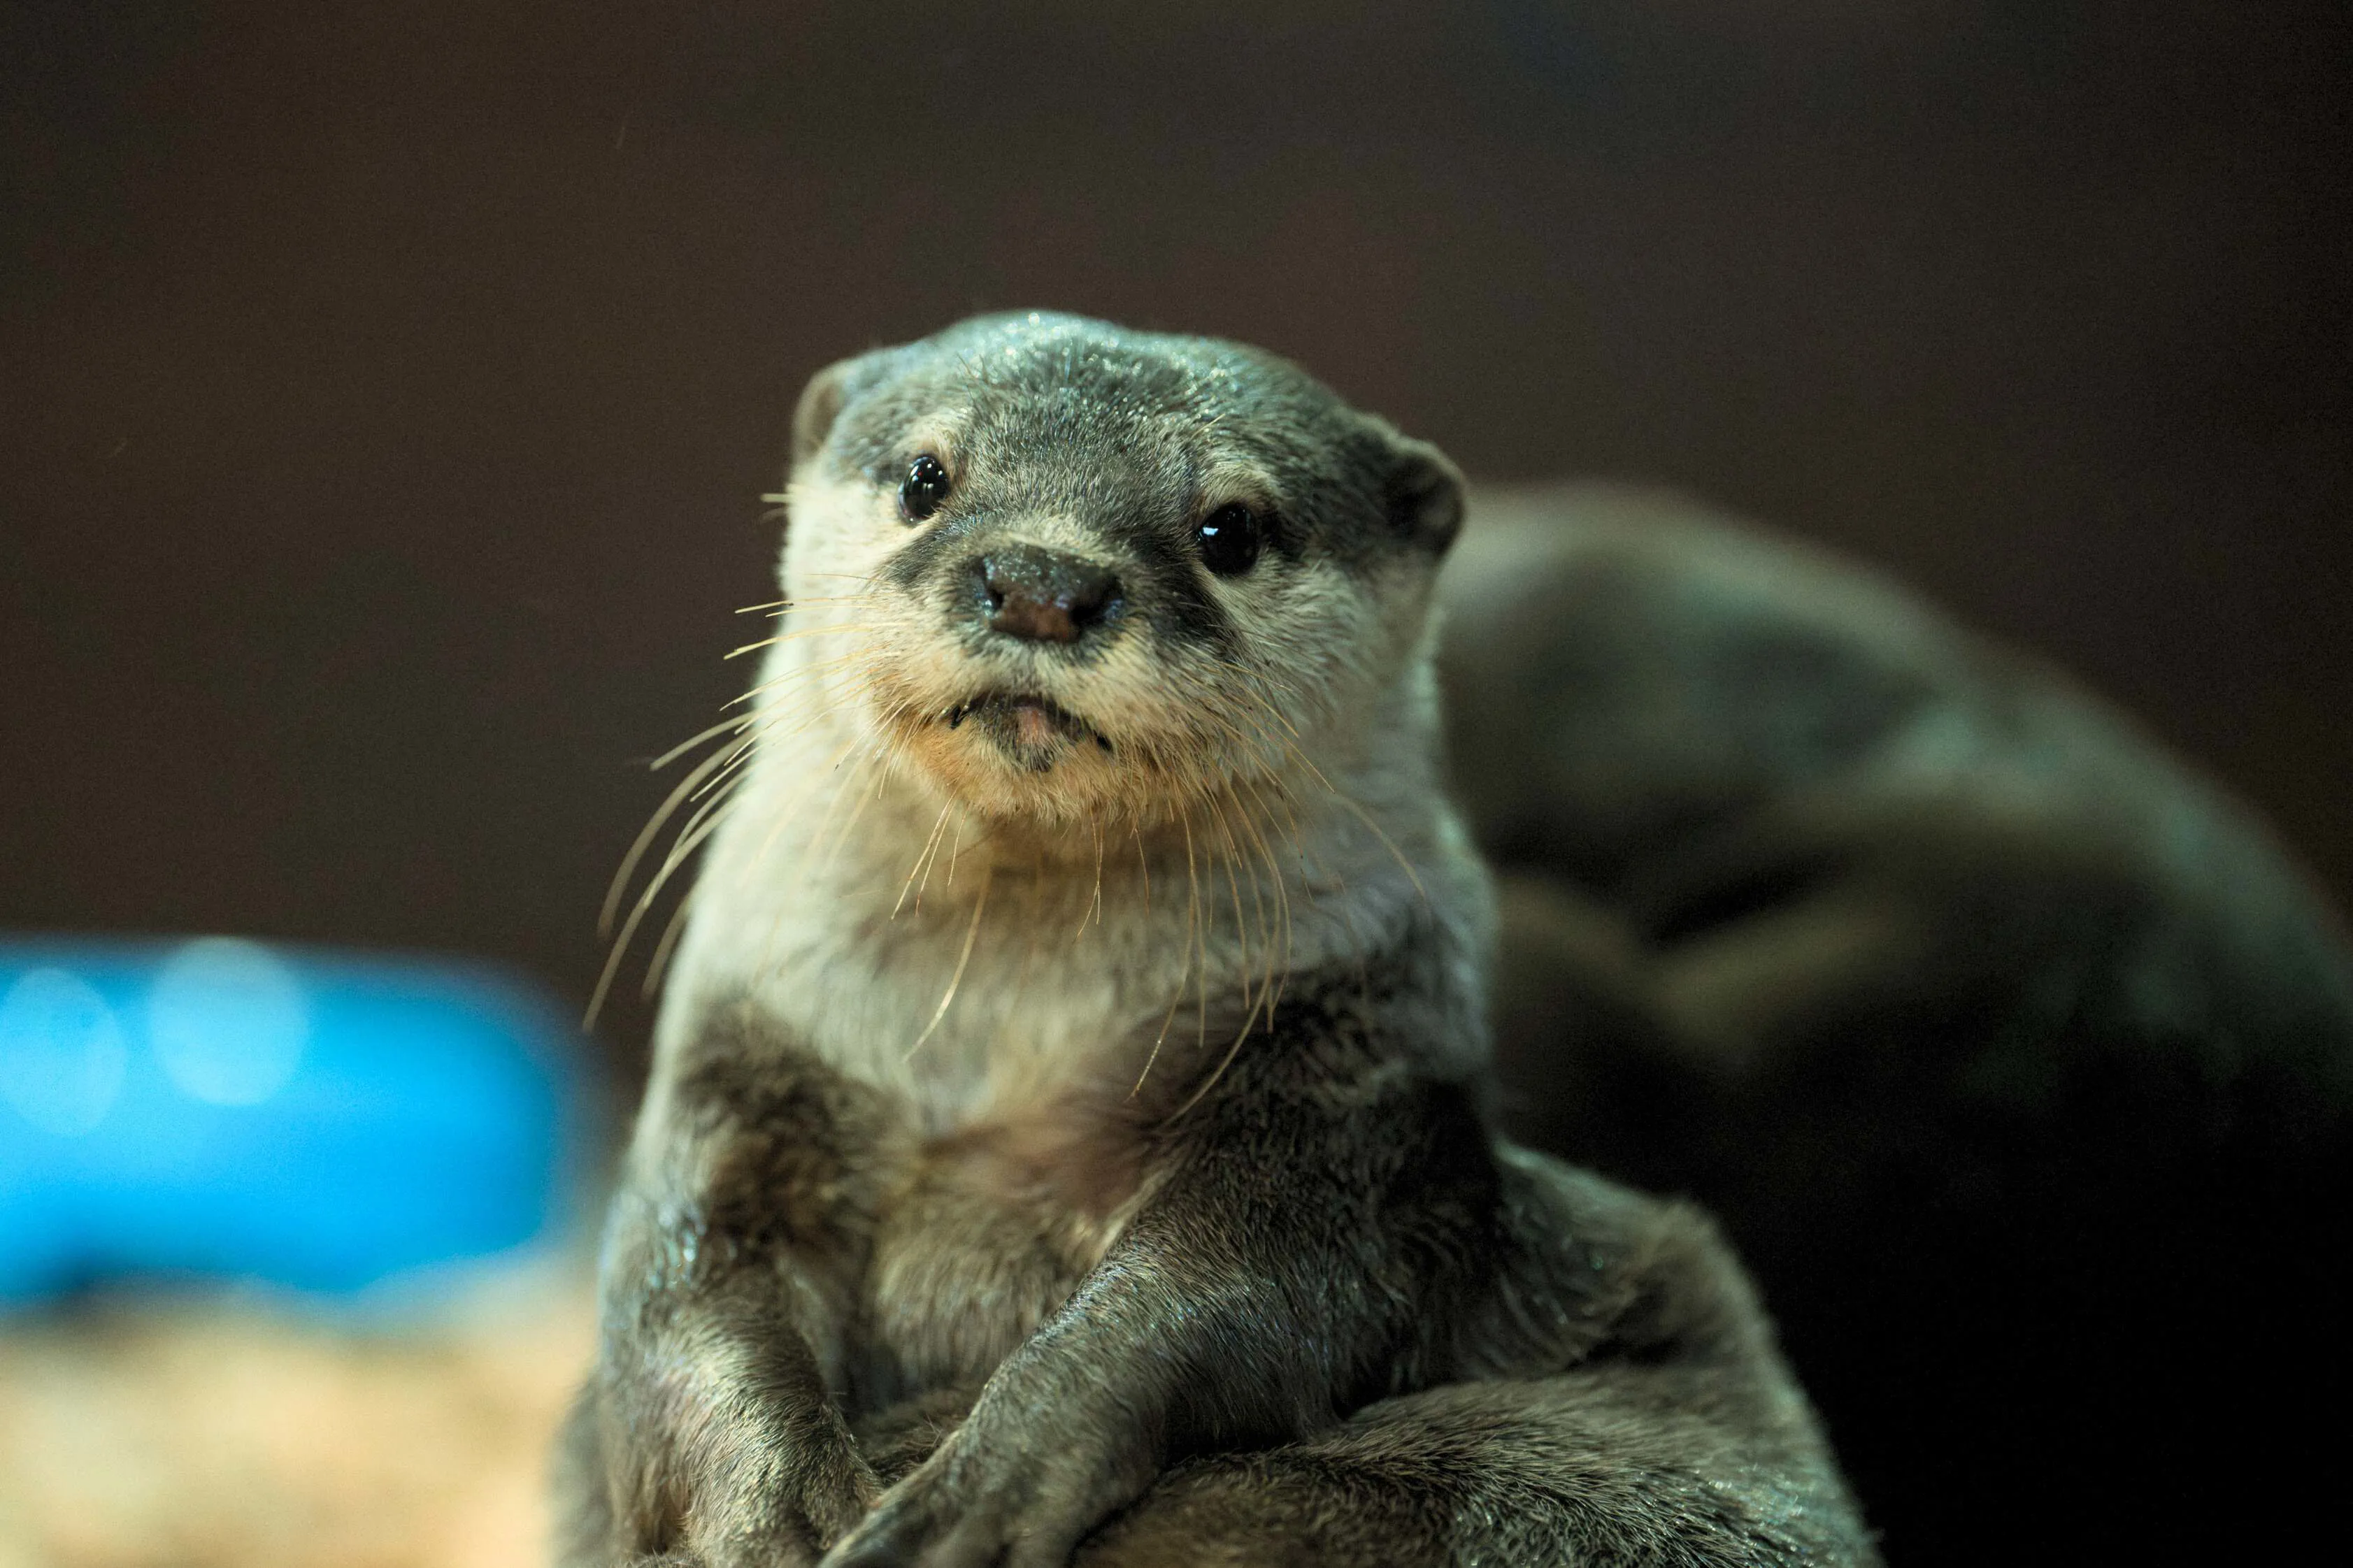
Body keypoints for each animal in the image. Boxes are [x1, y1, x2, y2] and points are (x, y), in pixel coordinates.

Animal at [555, 313, 1875, 1567]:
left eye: (1229, 529)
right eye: (926, 475)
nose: (1039, 579)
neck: (1009, 1056)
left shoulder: (1347, 1095)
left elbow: (1209, 1294)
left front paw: (972, 1493)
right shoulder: (753, 1062)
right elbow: (686, 1296)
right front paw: (782, 1517)